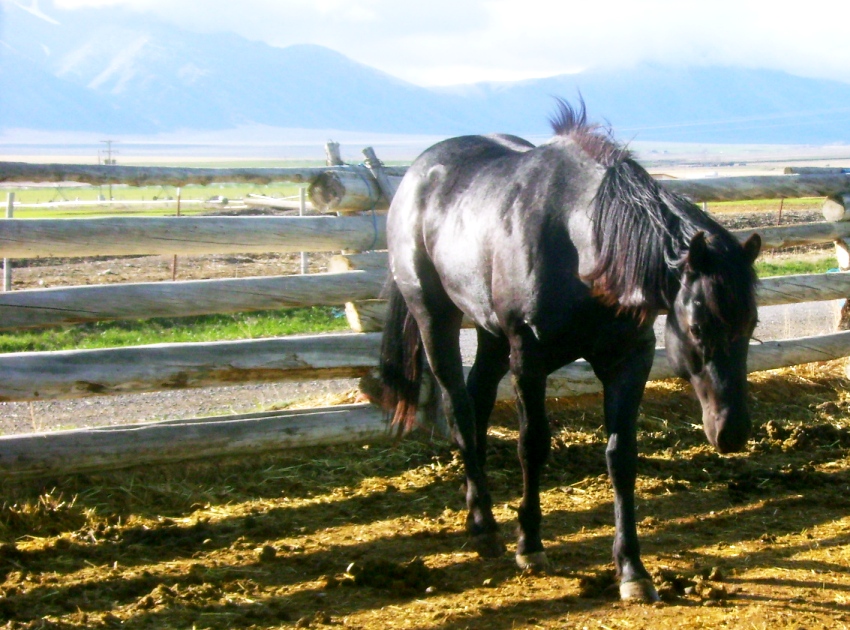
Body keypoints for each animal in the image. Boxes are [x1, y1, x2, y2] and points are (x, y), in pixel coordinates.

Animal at [376, 99, 756, 604]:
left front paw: (632, 568)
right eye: (697, 326)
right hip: (436, 319)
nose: (732, 432)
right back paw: (485, 527)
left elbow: (621, 457)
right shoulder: (528, 360)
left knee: (476, 404)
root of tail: (418, 172)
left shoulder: (629, 361)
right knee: (458, 407)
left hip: (490, 334)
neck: (582, 246)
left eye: (751, 324)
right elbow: (532, 446)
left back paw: (479, 514)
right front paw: (530, 544)